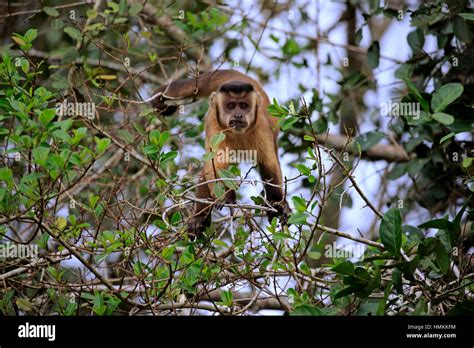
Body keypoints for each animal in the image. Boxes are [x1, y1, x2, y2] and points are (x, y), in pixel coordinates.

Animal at [154, 68, 290, 237]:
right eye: (231, 106)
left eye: (244, 106)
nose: (238, 115)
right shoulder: (214, 123)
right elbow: (215, 165)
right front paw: (226, 198)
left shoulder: (261, 125)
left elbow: (268, 163)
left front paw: (278, 204)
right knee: (206, 169)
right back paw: (200, 217)